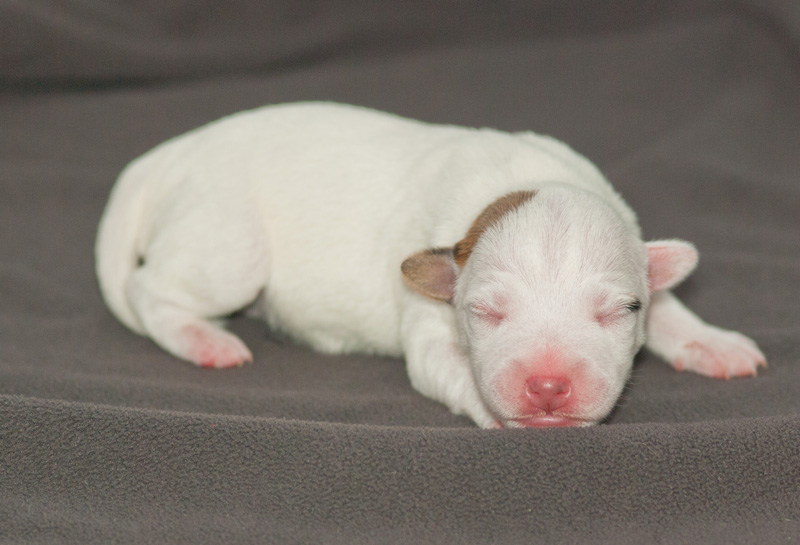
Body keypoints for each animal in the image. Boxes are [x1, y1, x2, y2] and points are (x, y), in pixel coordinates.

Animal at [97, 101, 764, 424]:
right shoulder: (426, 313)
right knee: (150, 287)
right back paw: (201, 338)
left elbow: (669, 304)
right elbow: (441, 363)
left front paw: (710, 342)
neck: (521, 181)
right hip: (227, 242)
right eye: (484, 312)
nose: (548, 387)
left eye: (622, 310)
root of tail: (169, 154)